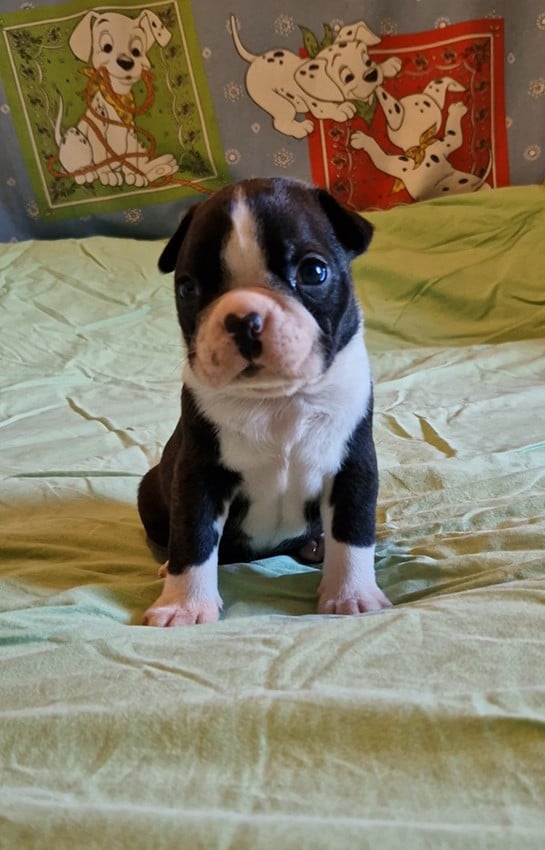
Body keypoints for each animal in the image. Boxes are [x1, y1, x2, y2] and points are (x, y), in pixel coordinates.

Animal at [55, 9, 178, 187]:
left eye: (136, 51)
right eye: (107, 47)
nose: (126, 62)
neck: (118, 97)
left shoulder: (131, 133)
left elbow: (132, 159)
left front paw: (135, 175)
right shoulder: (97, 131)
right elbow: (100, 155)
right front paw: (106, 174)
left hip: (139, 146)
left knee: (143, 164)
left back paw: (163, 165)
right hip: (74, 135)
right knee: (73, 168)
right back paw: (85, 173)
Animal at [138, 177, 392, 626]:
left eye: (313, 272)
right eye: (188, 289)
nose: (243, 318)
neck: (277, 400)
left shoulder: (353, 463)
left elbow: (353, 529)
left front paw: (352, 596)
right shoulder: (198, 472)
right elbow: (193, 535)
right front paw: (184, 606)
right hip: (150, 488)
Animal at [231, 17, 402, 138]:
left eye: (367, 61)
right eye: (348, 78)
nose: (372, 74)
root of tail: (255, 60)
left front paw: (388, 65)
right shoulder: (319, 107)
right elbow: (327, 110)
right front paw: (342, 109)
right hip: (278, 103)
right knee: (281, 121)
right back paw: (300, 128)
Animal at [351, 77, 492, 200]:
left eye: (426, 103)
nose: (424, 103)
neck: (420, 144)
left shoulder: (405, 162)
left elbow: (382, 160)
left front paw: (363, 140)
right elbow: (455, 137)